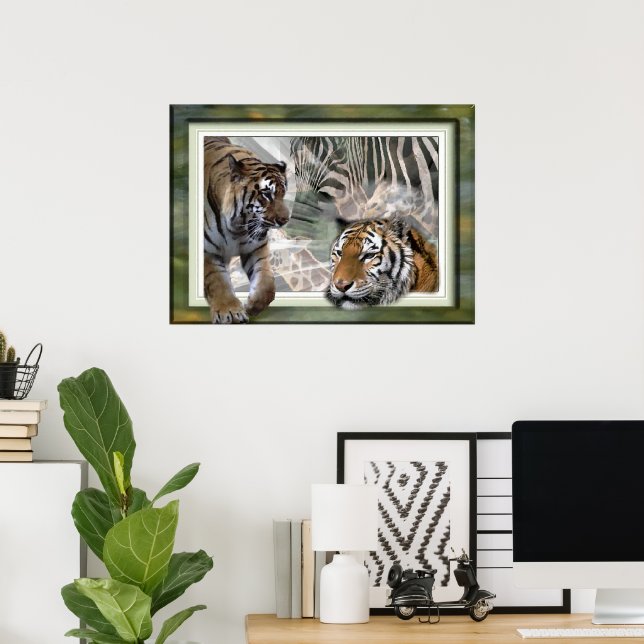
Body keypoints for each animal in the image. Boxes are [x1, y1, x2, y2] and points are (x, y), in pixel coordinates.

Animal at [203, 137, 290, 323]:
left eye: (283, 194)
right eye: (267, 194)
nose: (285, 220)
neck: (238, 227)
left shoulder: (256, 248)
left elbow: (266, 284)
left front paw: (252, 306)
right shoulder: (208, 251)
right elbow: (217, 280)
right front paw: (230, 312)